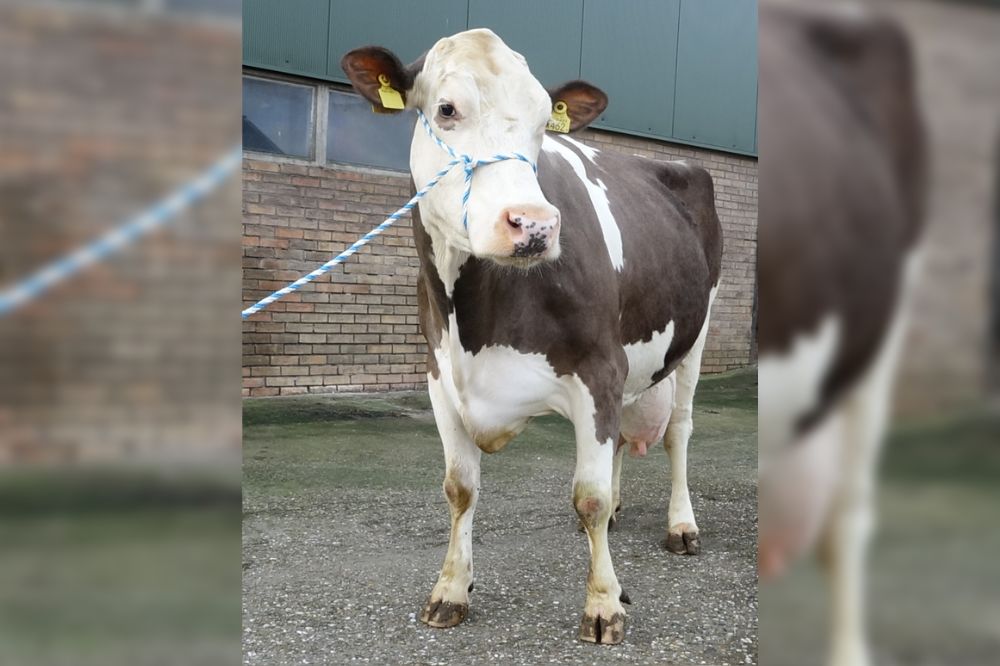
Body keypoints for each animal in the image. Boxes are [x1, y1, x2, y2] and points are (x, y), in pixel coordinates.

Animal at [344, 27, 720, 644]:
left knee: (678, 433)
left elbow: (588, 496)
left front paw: (603, 605)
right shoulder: (439, 376)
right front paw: (450, 589)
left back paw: (682, 526)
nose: (536, 225)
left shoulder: (598, 368)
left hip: (695, 336)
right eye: (446, 109)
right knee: (623, 439)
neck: (474, 318)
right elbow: (460, 487)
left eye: (546, 121)